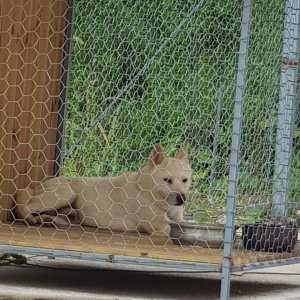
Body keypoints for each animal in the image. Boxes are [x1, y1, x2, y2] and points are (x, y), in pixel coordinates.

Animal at [15, 144, 192, 236]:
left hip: (69, 214)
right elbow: (168, 227)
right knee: (23, 205)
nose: (182, 199)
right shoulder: (158, 225)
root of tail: (40, 185)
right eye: (167, 180)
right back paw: (29, 217)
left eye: (185, 180)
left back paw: (48, 220)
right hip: (66, 193)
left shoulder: (179, 219)